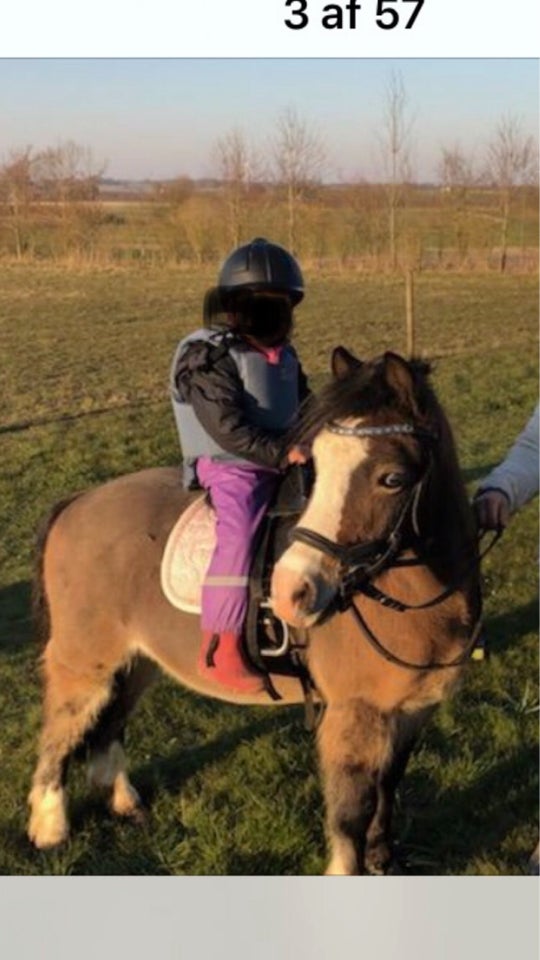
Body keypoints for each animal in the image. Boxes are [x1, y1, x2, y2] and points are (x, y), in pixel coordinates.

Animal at [27, 348, 480, 872]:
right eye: (317, 468)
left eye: (392, 478)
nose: (290, 592)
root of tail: (77, 502)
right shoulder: (353, 715)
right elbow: (351, 813)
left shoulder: (412, 711)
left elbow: (387, 792)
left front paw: (384, 861)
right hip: (84, 662)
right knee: (59, 732)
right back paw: (49, 827)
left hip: (137, 662)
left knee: (110, 725)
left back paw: (123, 801)